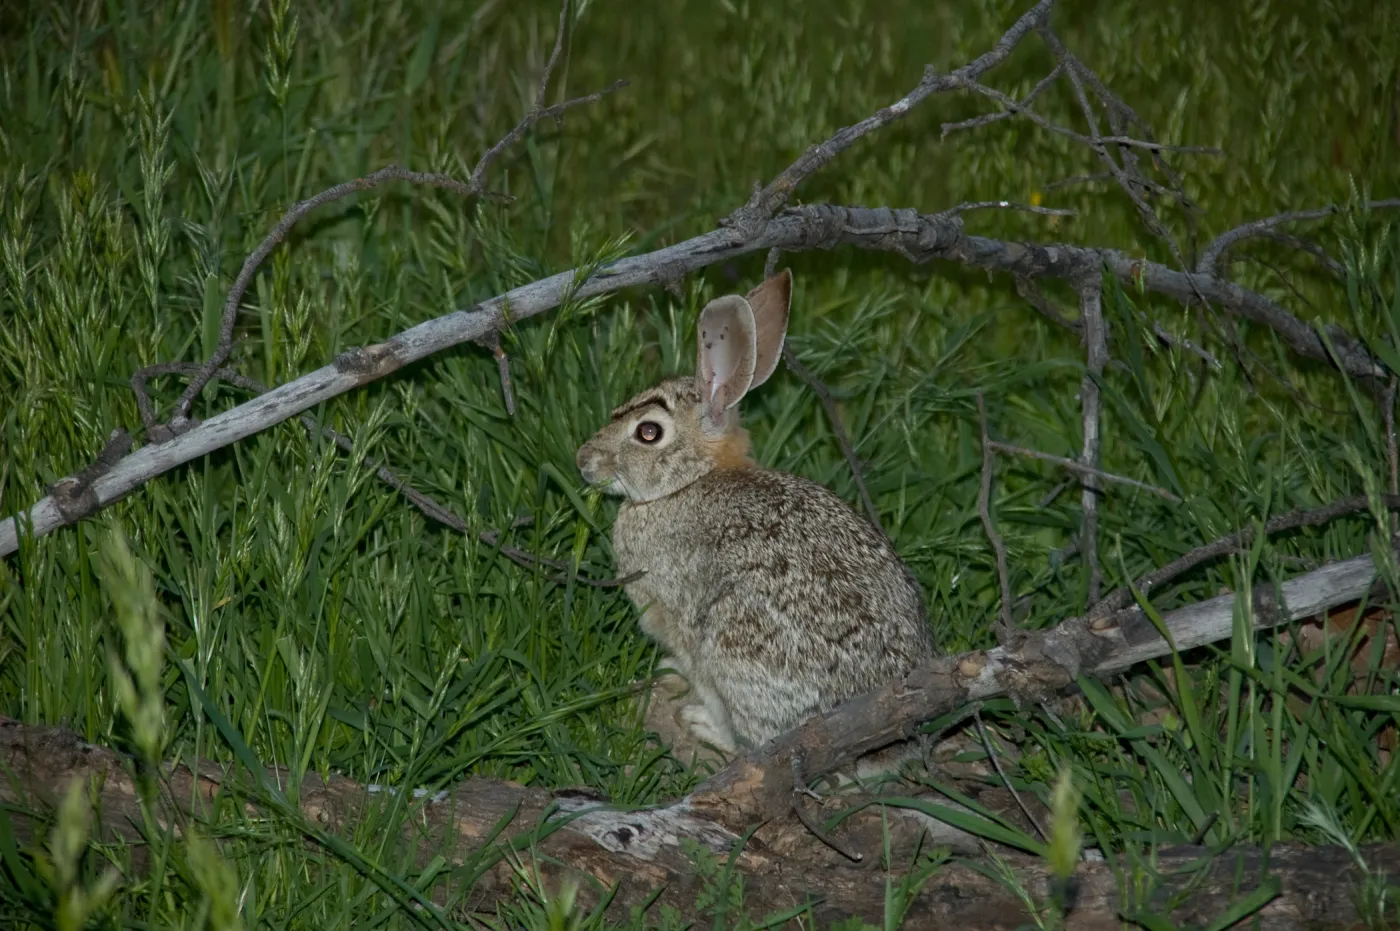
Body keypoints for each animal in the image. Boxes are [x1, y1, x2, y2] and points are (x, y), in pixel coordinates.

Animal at [576, 269, 936, 780]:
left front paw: (689, 702)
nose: (584, 461)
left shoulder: (683, 623)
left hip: (737, 649)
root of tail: (885, 746)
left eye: (648, 432)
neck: (687, 483)